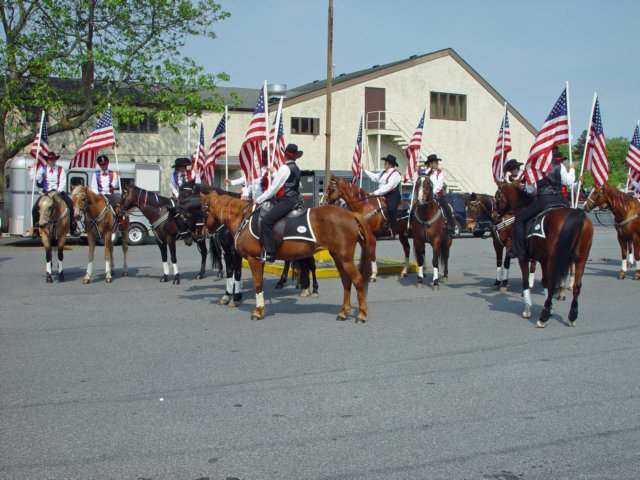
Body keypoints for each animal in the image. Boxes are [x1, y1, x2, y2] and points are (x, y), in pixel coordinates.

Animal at [200, 190, 376, 322]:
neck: (244, 220)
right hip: (338, 258)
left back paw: (361, 314)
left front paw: (257, 311)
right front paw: (260, 308)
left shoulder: (252, 259)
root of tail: (351, 214)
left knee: (357, 280)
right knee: (346, 282)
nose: (202, 232)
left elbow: (257, 284)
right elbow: (259, 284)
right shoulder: (259, 260)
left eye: (203, 210)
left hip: (345, 259)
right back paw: (343, 312)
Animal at [496, 181, 596, 326]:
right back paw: (571, 316)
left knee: (554, 284)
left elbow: (526, 282)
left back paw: (543, 317)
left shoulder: (524, 258)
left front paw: (528, 309)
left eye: (497, 196)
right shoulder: (544, 260)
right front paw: (550, 308)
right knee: (576, 286)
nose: (495, 214)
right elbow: (544, 282)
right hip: (580, 260)